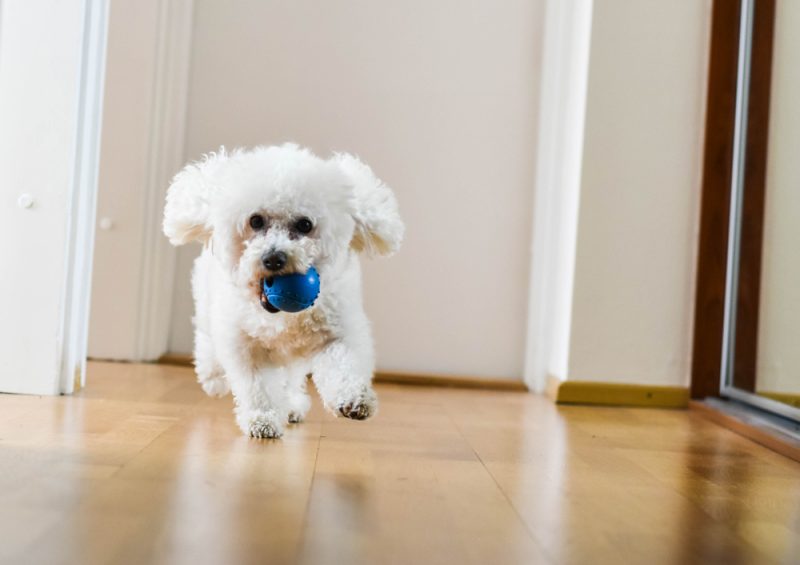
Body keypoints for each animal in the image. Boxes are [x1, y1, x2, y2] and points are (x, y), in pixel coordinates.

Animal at [162, 144, 404, 436]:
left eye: (304, 225)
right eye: (255, 221)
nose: (274, 258)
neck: (281, 317)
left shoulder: (337, 332)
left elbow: (344, 364)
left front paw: (353, 399)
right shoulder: (246, 344)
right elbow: (257, 387)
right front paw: (262, 418)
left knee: (289, 379)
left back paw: (291, 405)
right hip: (208, 304)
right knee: (207, 340)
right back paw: (213, 376)